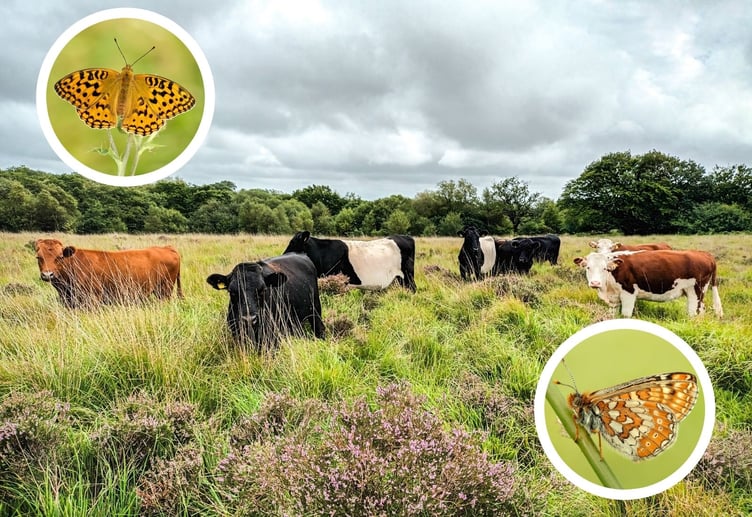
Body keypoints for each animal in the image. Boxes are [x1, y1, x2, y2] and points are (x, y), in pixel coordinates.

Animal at [34, 239, 182, 308]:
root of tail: (167, 248)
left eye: (59, 257)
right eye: (38, 257)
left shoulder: (93, 299)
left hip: (164, 291)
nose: (48, 274)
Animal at [573, 250, 723, 318]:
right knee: (701, 311)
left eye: (605, 268)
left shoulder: (628, 293)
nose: (595, 282)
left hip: (695, 292)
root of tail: (705, 254)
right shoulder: (613, 299)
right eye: (588, 267)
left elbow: (626, 314)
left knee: (693, 312)